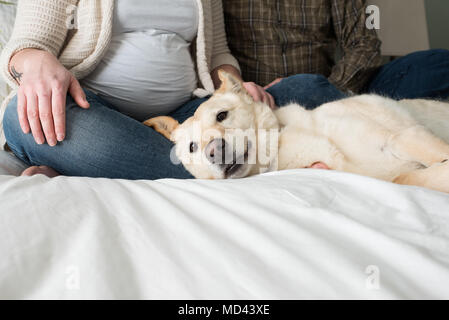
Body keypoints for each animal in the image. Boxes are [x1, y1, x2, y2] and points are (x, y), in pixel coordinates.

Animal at [143, 71, 448, 192]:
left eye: (222, 115)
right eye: (192, 147)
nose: (214, 151)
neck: (282, 140)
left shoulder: (405, 136)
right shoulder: (394, 168)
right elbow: (408, 177)